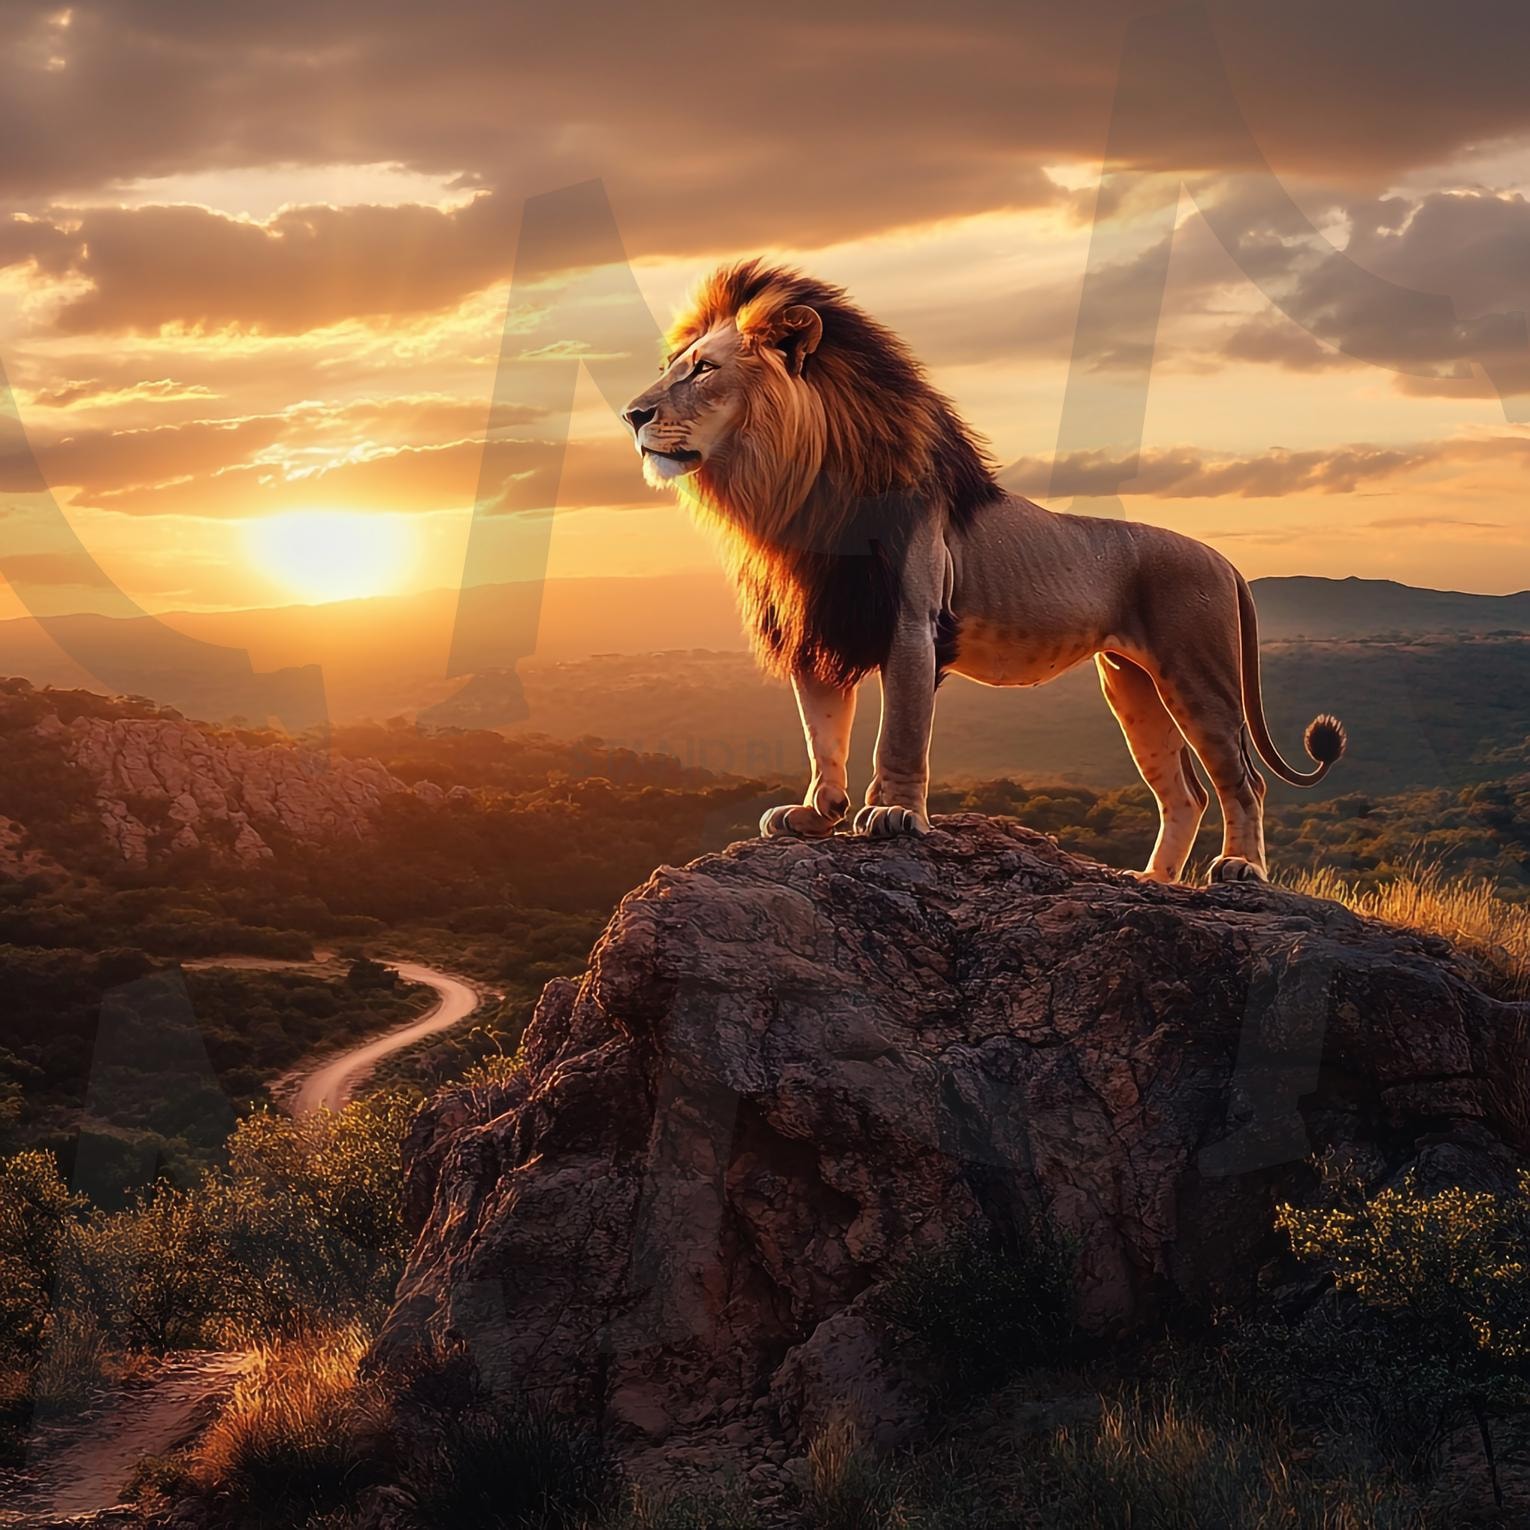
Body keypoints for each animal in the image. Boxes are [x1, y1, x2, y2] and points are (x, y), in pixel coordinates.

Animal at [621, 259, 1345, 883]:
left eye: (703, 369)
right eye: (671, 368)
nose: (631, 414)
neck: (797, 492)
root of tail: (1224, 560)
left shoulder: (911, 620)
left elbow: (901, 733)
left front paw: (895, 813)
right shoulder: (819, 627)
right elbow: (822, 735)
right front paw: (815, 815)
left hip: (1197, 671)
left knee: (1242, 780)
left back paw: (1241, 869)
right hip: (1131, 683)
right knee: (1184, 791)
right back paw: (1154, 883)